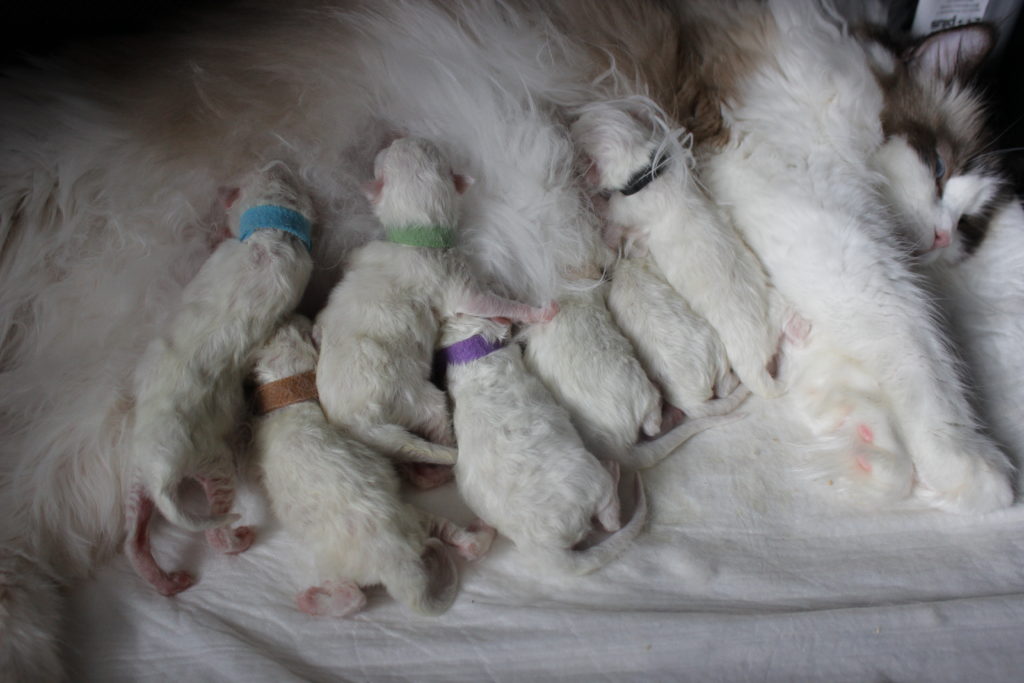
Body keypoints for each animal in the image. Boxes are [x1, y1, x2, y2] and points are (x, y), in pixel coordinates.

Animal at [125, 162, 313, 593]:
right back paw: (173, 578)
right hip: (152, 471)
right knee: (141, 539)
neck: (271, 235)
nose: (278, 162)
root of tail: (161, 474)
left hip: (203, 466)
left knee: (198, 533)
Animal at [247, 315, 491, 618]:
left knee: (354, 598)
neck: (293, 401)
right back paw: (478, 533)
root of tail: (399, 564)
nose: (295, 316)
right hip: (412, 518)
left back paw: (311, 600)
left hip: (334, 563)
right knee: (454, 533)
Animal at [317, 139, 561, 471]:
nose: (398, 138)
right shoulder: (451, 277)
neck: (413, 237)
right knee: (433, 415)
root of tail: (359, 426)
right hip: (412, 398)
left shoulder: (365, 250)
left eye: (392, 153)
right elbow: (483, 301)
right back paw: (448, 450)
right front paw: (537, 312)